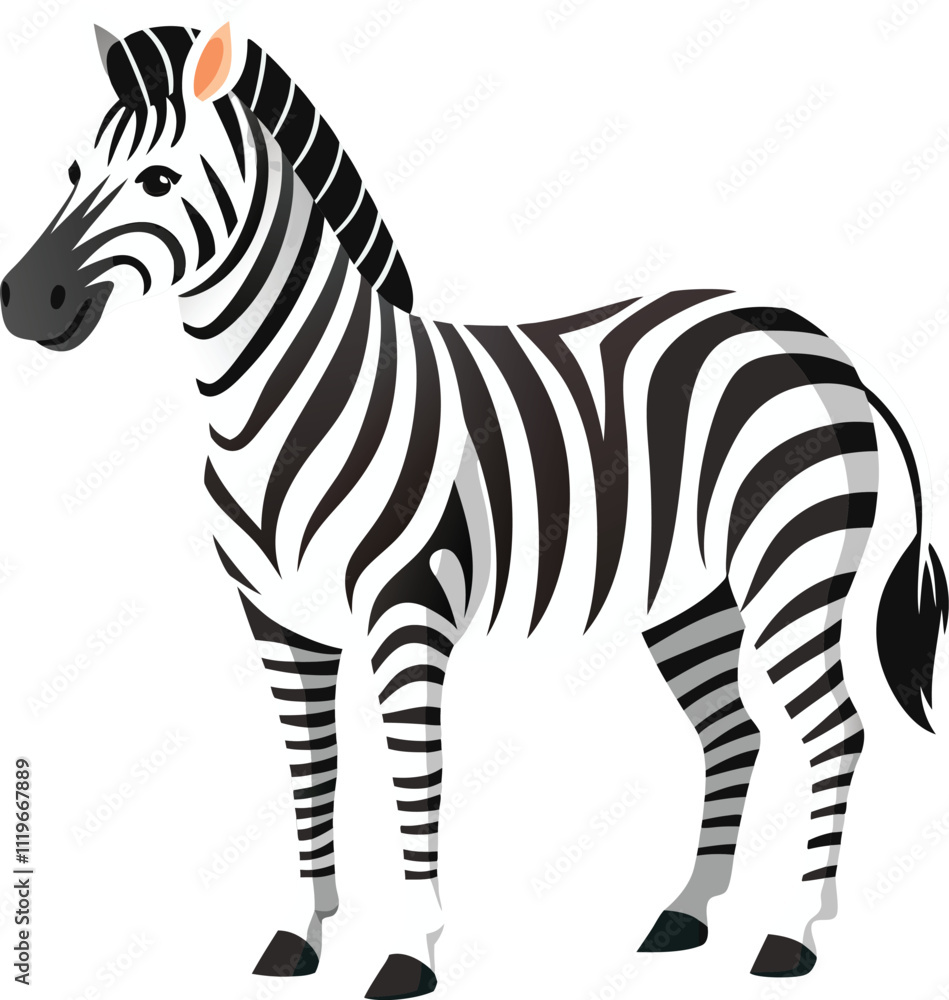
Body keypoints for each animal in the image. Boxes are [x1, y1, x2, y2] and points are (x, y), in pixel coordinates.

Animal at [1, 21, 945, 994]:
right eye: (71, 171)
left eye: (158, 181)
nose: (24, 302)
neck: (281, 404)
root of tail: (815, 341)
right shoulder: (279, 623)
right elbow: (310, 774)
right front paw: (300, 935)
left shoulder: (406, 610)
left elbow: (413, 776)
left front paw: (407, 953)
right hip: (691, 598)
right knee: (735, 732)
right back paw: (685, 915)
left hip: (791, 569)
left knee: (833, 731)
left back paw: (792, 935)